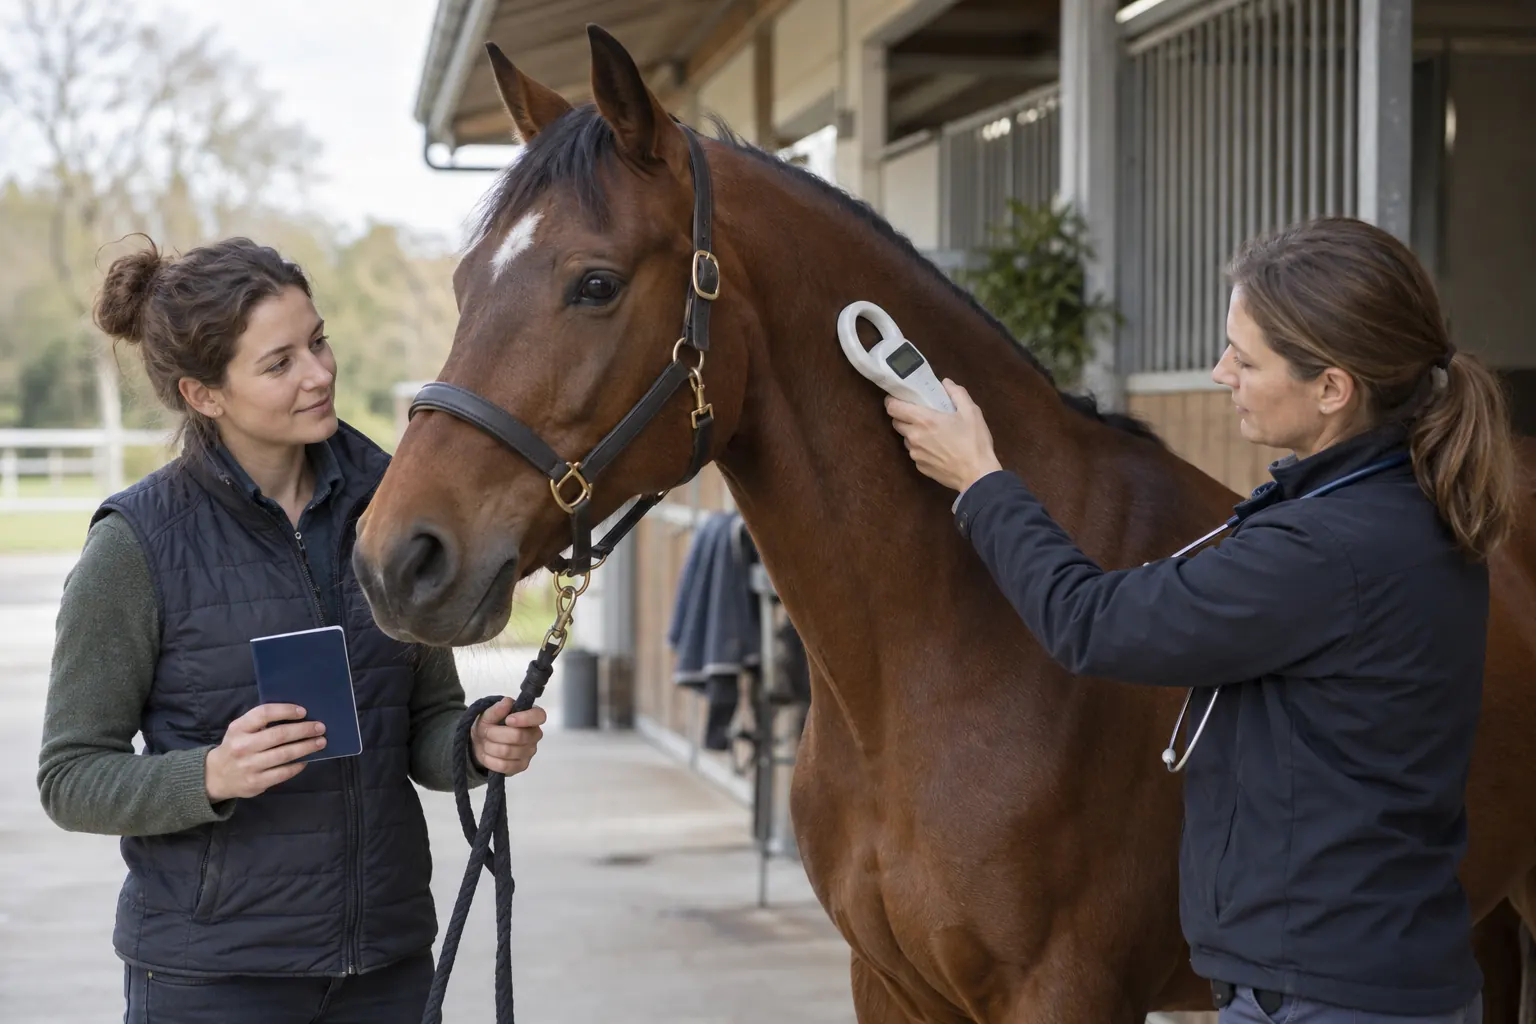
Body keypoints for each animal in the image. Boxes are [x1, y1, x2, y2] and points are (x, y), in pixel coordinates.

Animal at [353, 26, 1536, 1022]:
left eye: (594, 285)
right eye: (462, 282)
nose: (395, 559)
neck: (939, 661)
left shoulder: (1064, 994)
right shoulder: (888, 982)